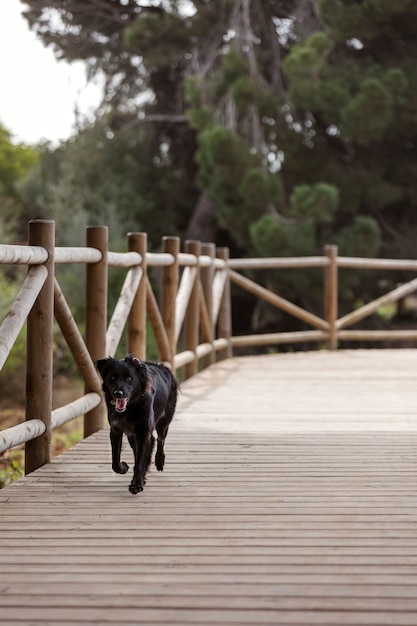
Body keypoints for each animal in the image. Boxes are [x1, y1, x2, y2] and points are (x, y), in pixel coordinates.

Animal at [95, 356, 178, 492]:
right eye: (112, 378)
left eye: (129, 378)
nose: (118, 393)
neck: (131, 408)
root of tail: (162, 367)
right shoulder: (116, 430)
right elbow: (115, 461)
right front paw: (124, 468)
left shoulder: (143, 433)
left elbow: (140, 461)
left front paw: (137, 484)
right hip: (132, 435)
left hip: (164, 422)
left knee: (160, 439)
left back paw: (159, 461)